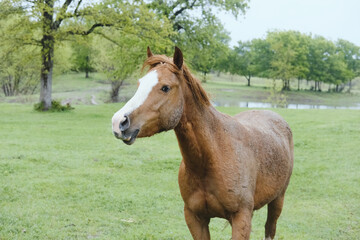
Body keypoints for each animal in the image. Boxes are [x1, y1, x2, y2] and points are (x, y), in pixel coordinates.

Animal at [111, 46, 294, 239]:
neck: (215, 156)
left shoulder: (241, 219)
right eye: (140, 84)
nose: (118, 122)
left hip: (277, 200)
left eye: (165, 87)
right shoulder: (195, 218)